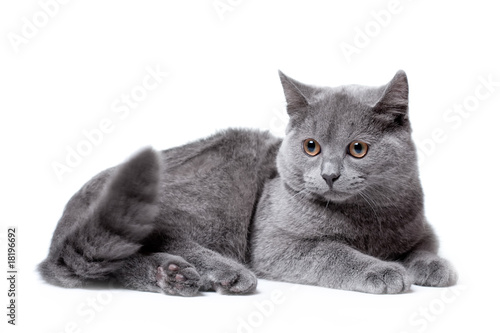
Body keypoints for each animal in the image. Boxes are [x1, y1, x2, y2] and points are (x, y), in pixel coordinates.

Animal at [39, 69, 458, 294]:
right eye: (311, 147)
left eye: (358, 148)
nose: (329, 174)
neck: (367, 220)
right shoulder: (277, 244)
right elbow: (332, 252)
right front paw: (383, 270)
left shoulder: (419, 226)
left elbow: (424, 247)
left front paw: (434, 267)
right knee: (165, 238)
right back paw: (222, 272)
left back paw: (172, 275)